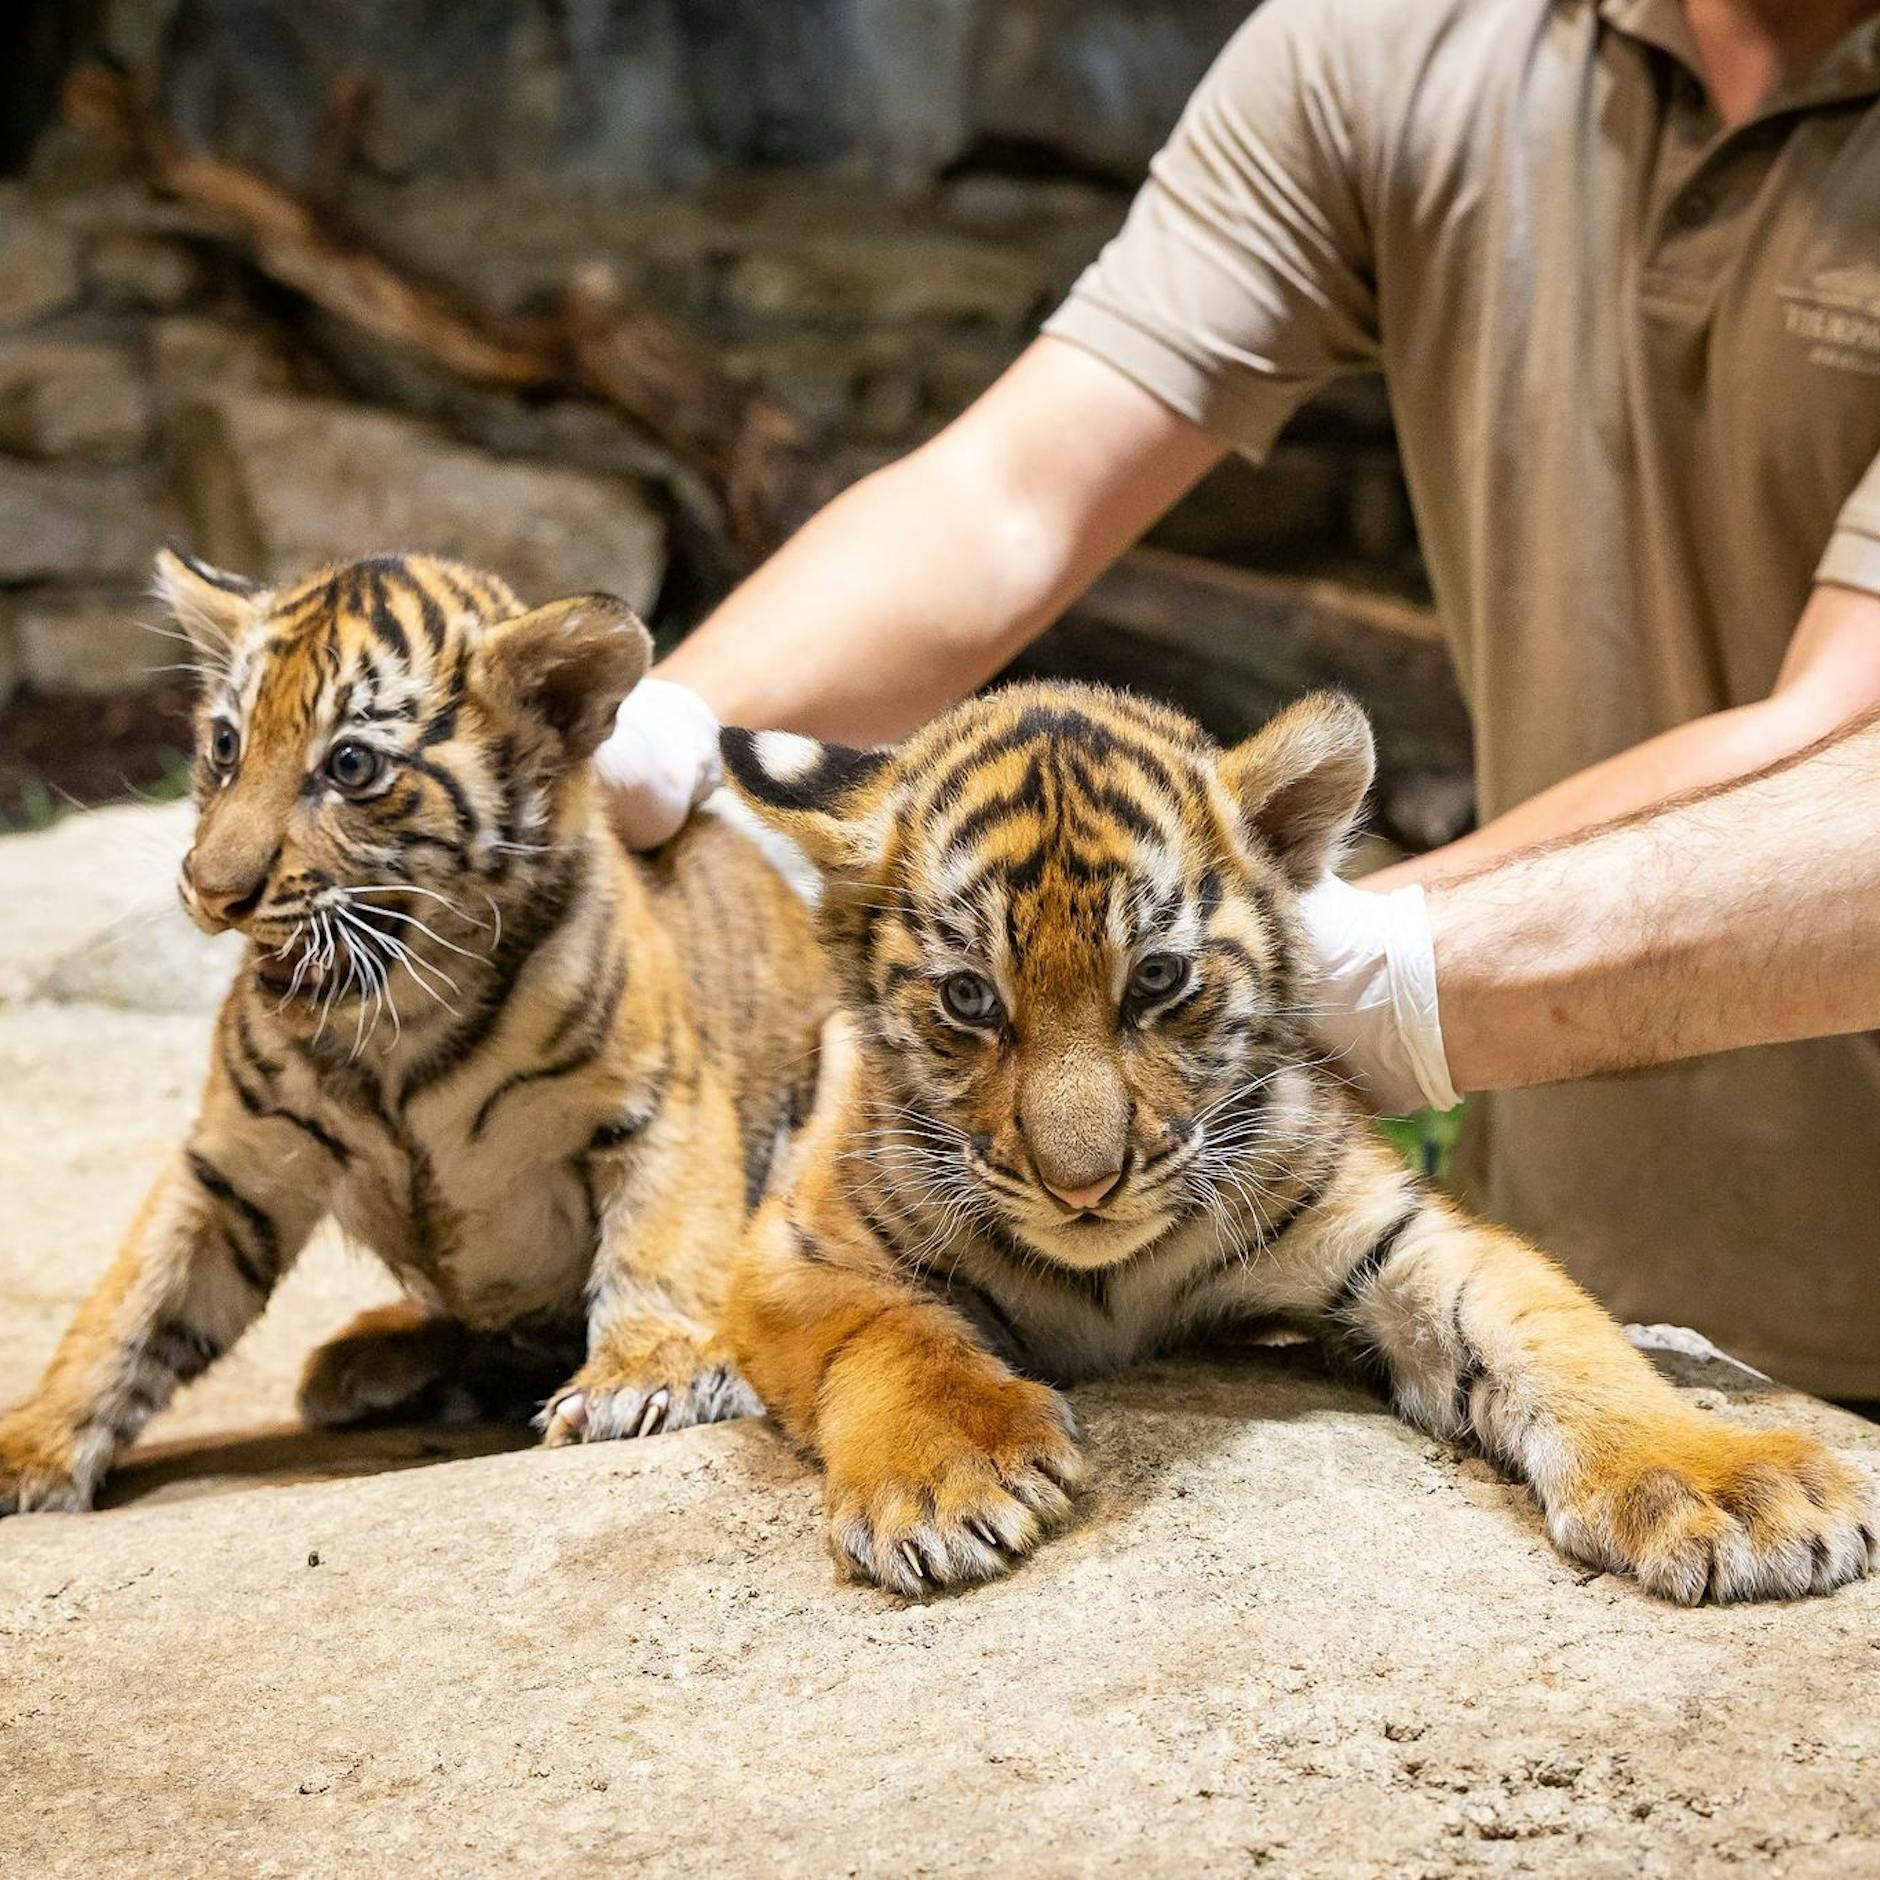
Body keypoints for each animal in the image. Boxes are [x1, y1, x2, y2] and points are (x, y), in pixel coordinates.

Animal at [0, 549, 830, 1517]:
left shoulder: (658, 1105)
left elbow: (663, 1243)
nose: (214, 892)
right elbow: (129, 1306)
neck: (392, 1026)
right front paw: (34, 1441)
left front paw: (641, 1377)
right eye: (225, 745)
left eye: (351, 763)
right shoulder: (230, 1168)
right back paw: (366, 1358)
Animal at [719, 681, 1879, 1604]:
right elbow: (887, 1328)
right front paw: (946, 1472)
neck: (1106, 1281)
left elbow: (1561, 1337)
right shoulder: (793, 1251)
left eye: (1156, 979)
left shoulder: (1400, 1233)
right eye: (969, 998)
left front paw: (1726, 1484)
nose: (1082, 1187)